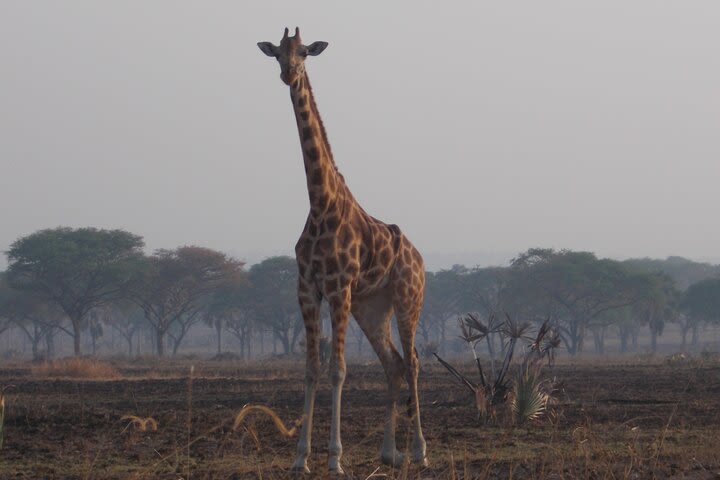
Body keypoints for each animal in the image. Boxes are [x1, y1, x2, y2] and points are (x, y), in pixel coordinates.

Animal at [258, 28, 428, 474]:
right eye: (277, 53)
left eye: (304, 52)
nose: (288, 73)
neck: (321, 204)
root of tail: (421, 260)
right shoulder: (307, 290)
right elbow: (311, 369)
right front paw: (300, 458)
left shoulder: (338, 289)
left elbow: (338, 370)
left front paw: (334, 458)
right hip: (372, 308)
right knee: (393, 364)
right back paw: (389, 453)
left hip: (407, 299)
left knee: (413, 362)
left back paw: (419, 451)